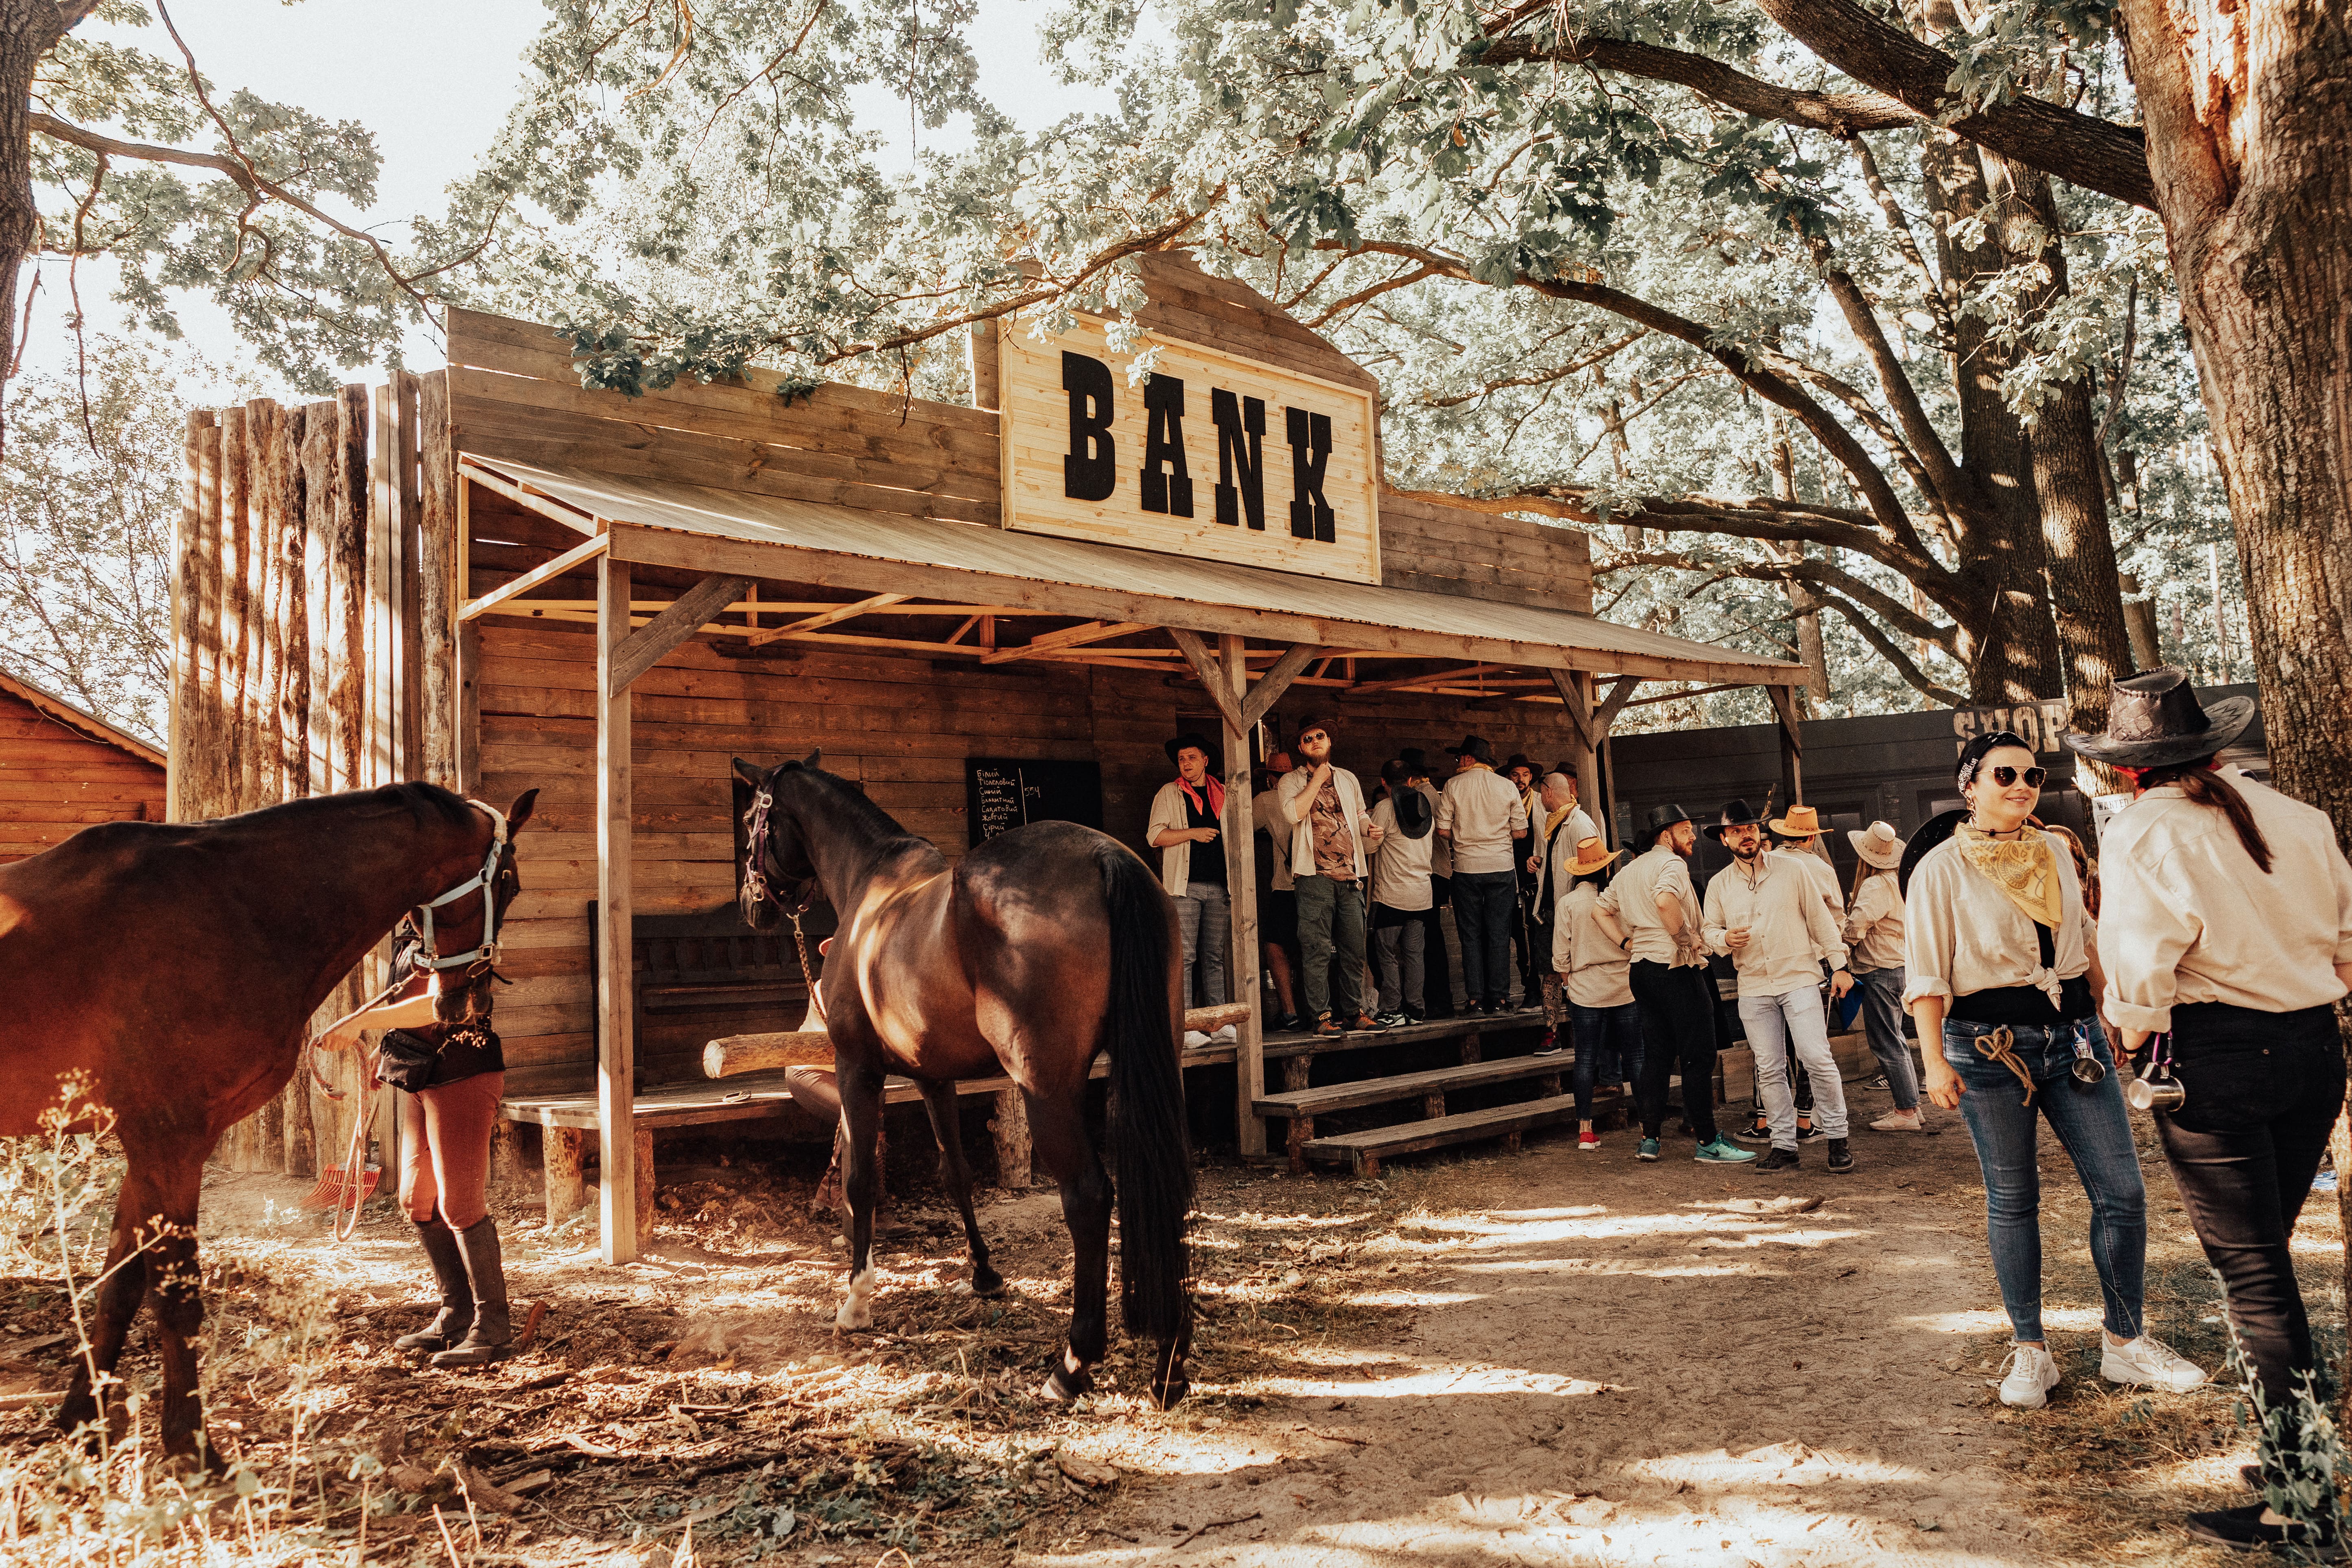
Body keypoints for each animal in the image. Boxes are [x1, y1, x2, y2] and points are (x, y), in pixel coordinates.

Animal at [0, 785, 536, 1457]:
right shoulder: (169, 1139)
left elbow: (118, 1287)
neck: (237, 908)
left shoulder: (148, 1146)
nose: (470, 1004)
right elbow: (175, 1297)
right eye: (510, 883)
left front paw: (81, 1421)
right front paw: (192, 1446)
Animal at [734, 752, 1195, 1401]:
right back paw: (1169, 1363)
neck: (872, 884)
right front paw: (983, 1273)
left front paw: (856, 1301)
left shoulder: (857, 1070)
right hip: (1156, 1066)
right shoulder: (935, 1079)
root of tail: (1105, 856)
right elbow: (956, 1176)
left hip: (1046, 1088)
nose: (750, 903)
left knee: (1087, 1195)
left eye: (751, 818)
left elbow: (859, 1181)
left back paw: (1074, 1363)